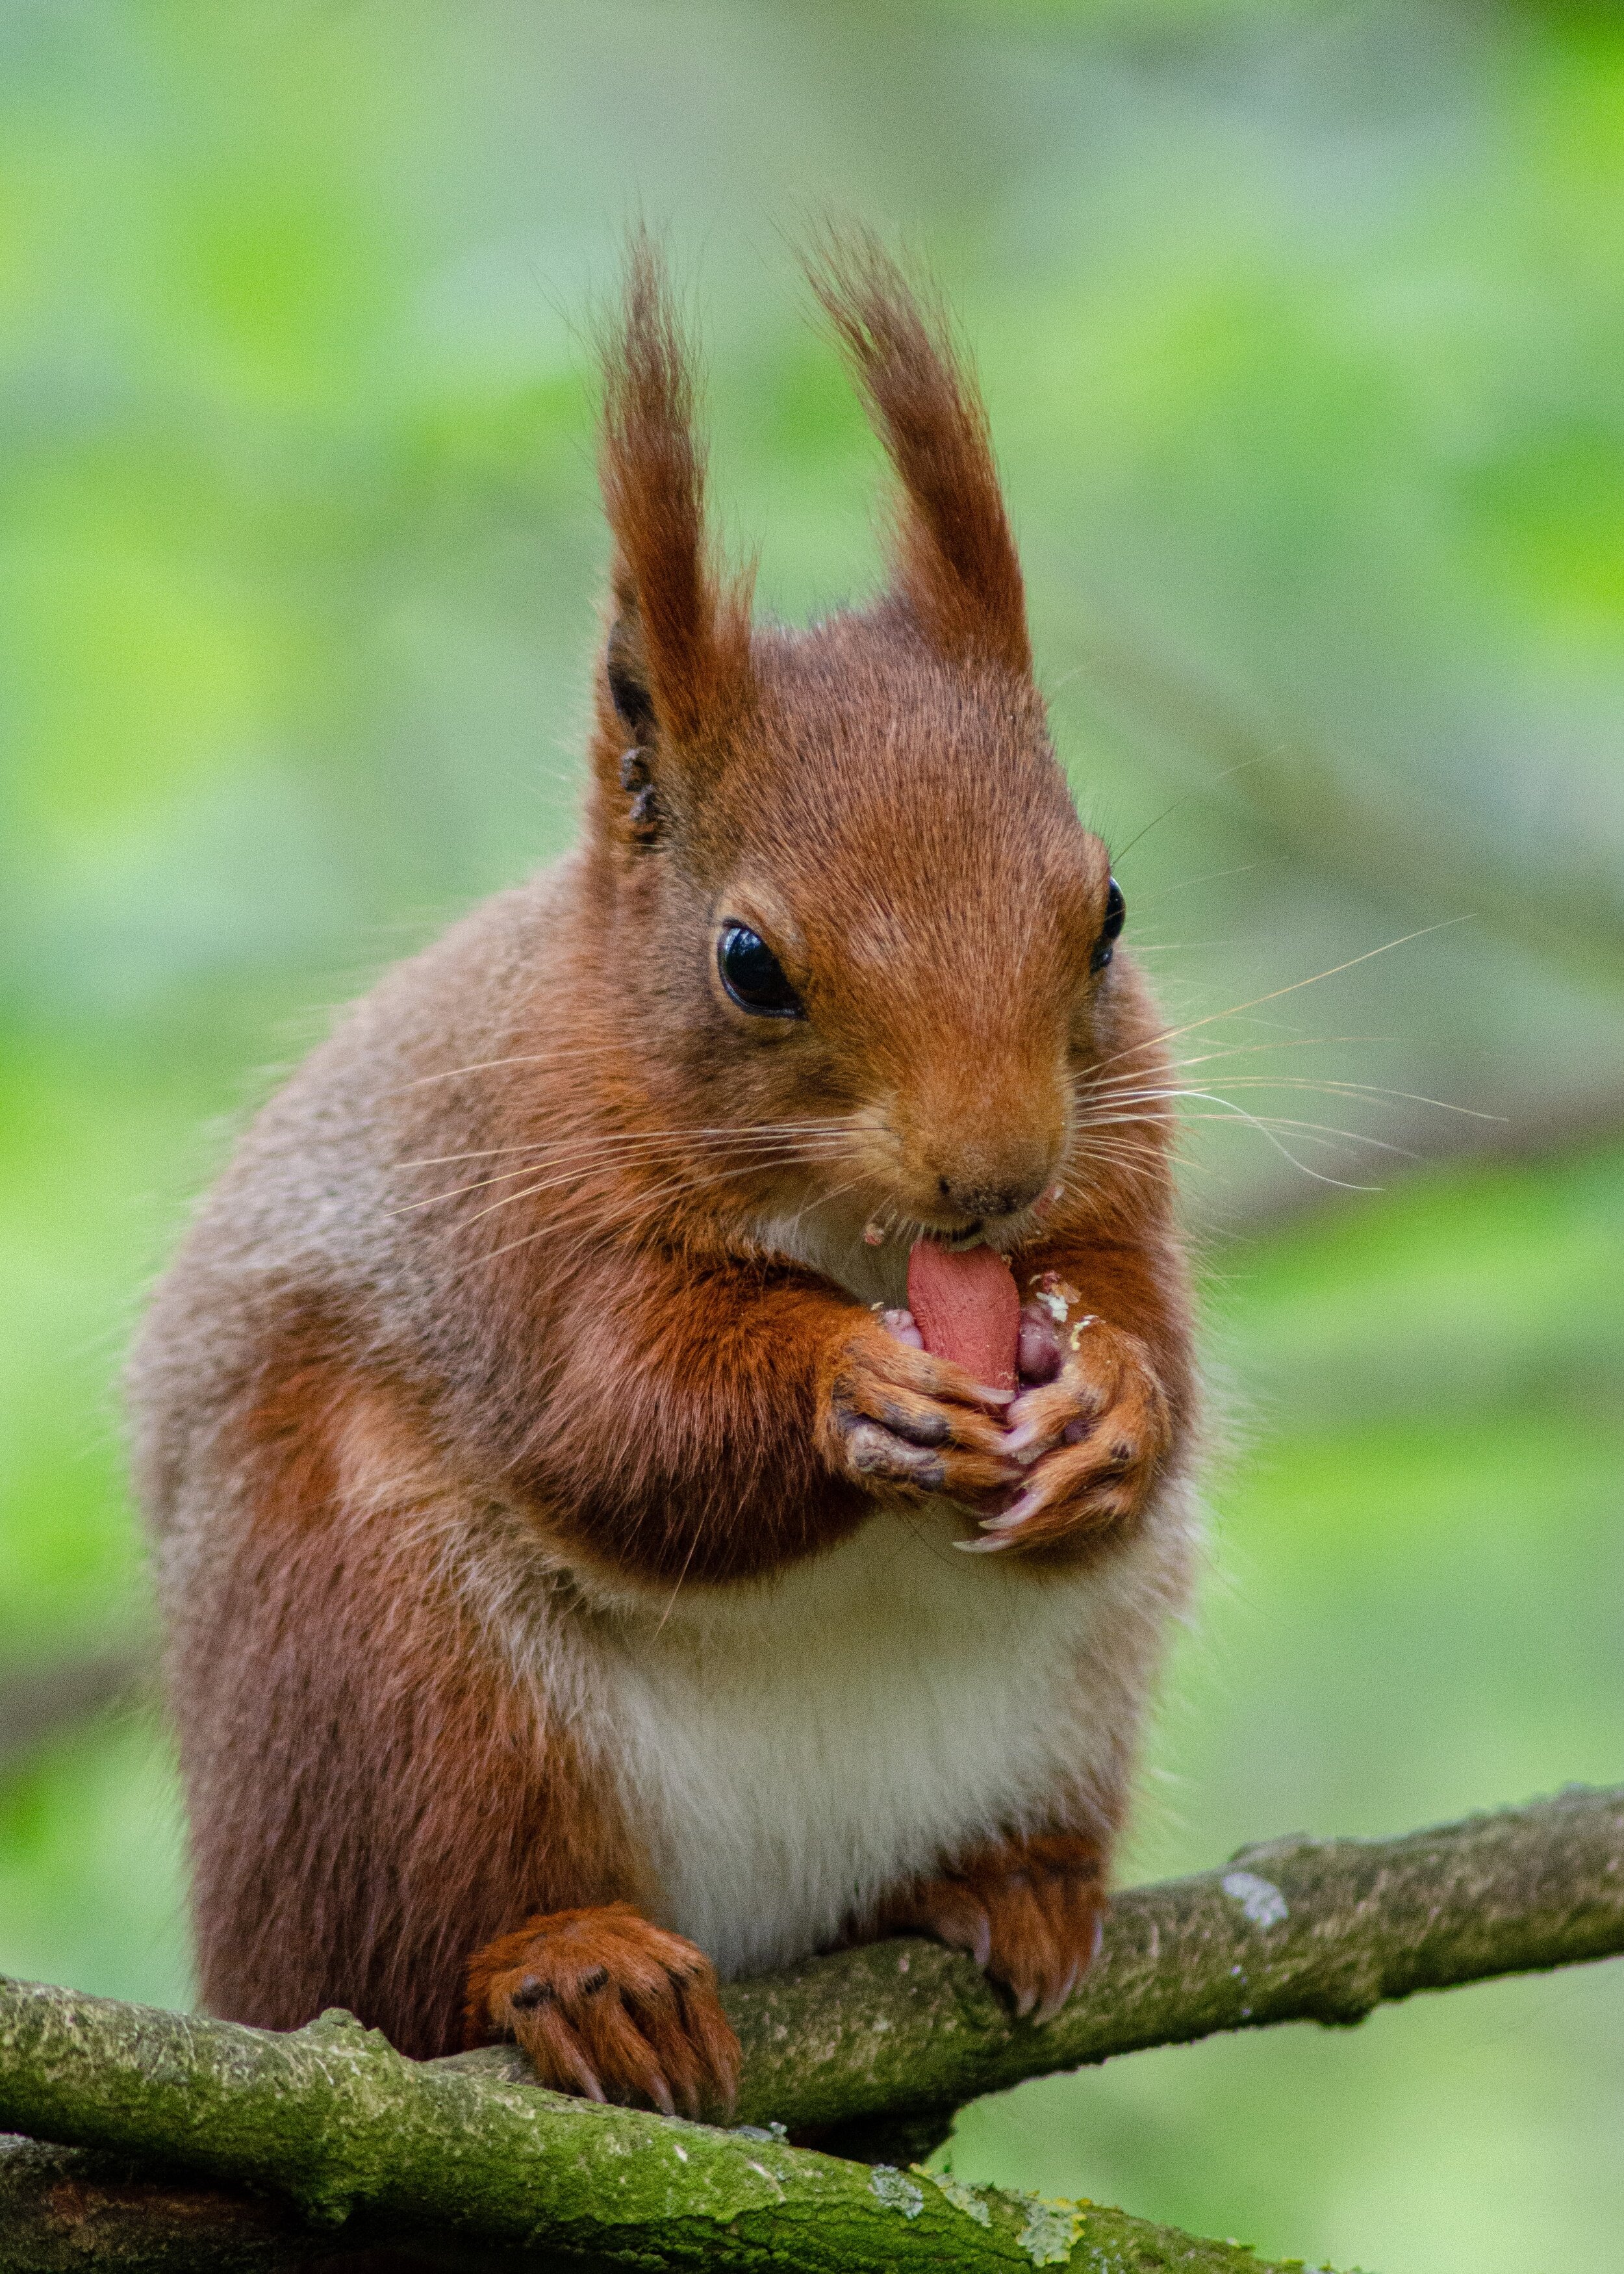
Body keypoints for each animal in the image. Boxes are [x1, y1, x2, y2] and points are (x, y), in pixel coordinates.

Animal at [123, 231, 1191, 2110]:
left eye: (1110, 910)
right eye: (748, 963)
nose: (992, 1177)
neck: (850, 1233)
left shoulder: (1125, 1157)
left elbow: (1167, 1342)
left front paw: (1110, 1403)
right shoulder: (504, 1211)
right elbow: (614, 1416)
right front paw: (845, 1387)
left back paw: (995, 1885)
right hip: (379, 1668)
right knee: (420, 1950)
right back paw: (580, 1967)